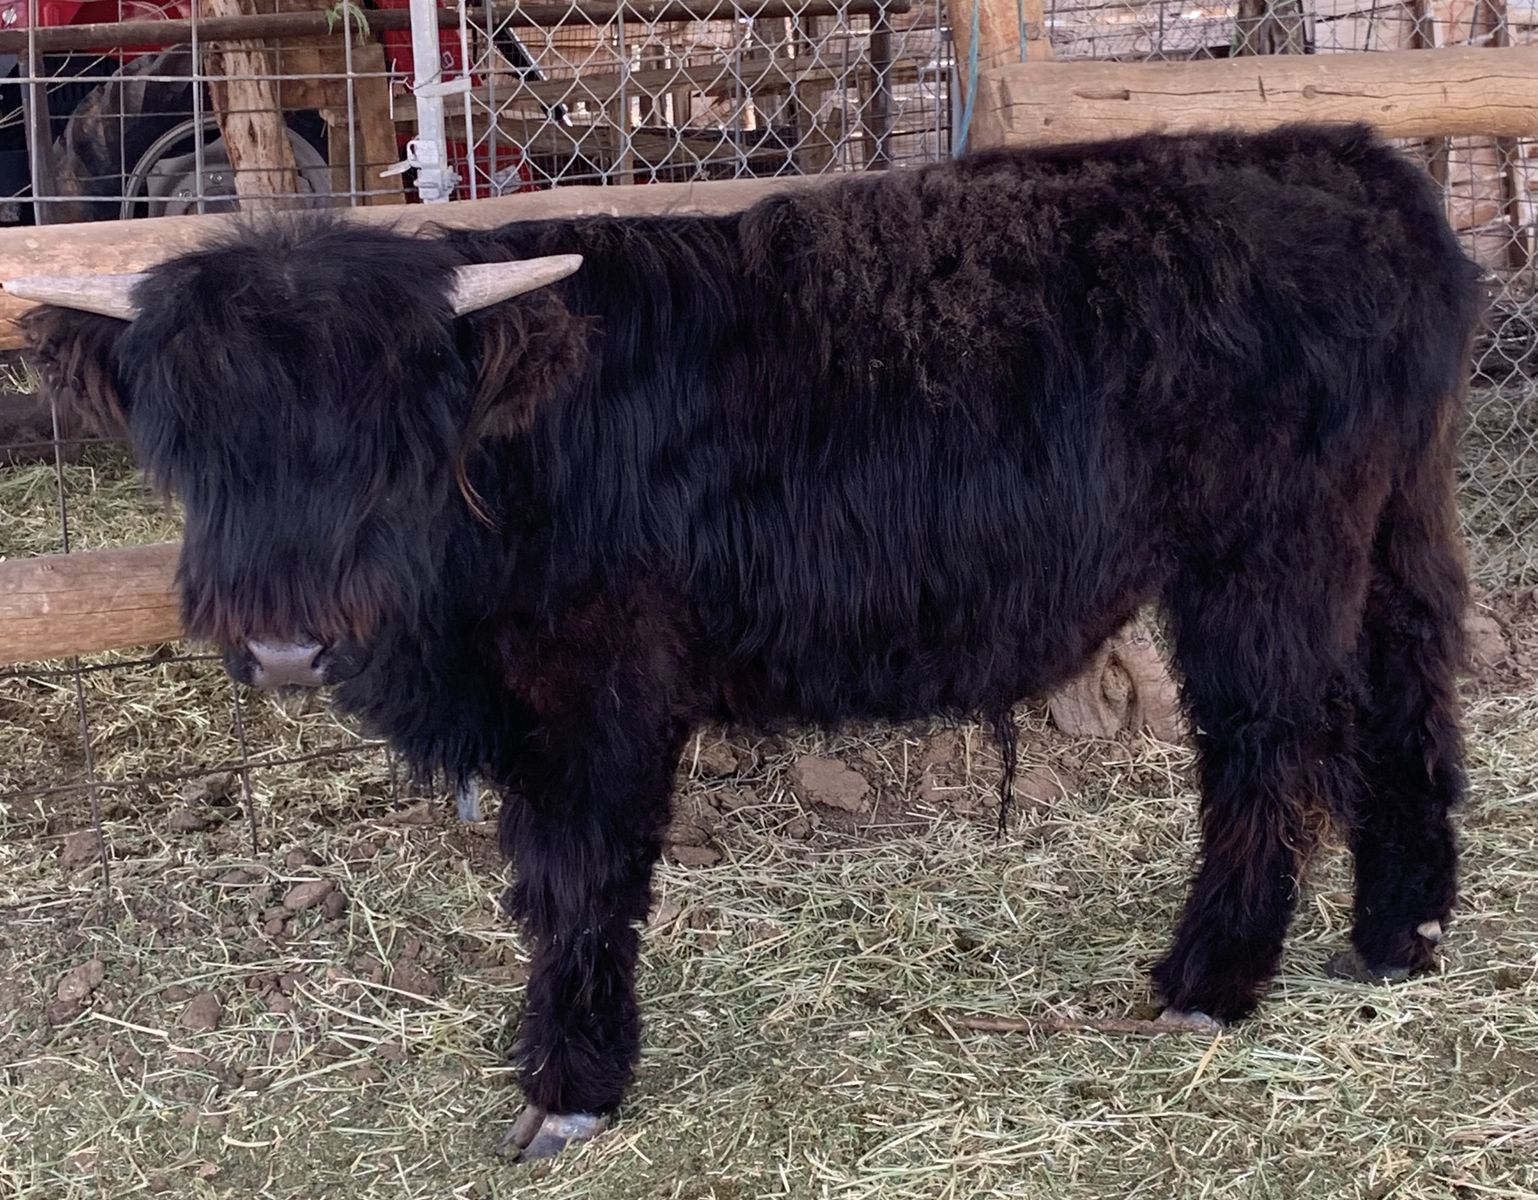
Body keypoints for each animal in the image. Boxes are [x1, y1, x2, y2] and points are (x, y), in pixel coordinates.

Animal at [13, 123, 1482, 1161]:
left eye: (388, 431)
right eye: (189, 436)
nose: (283, 646)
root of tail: (1348, 162)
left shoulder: (597, 685)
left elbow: (579, 877)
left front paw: (568, 1088)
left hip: (1264, 558)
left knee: (1270, 741)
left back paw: (1212, 978)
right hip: (1392, 523)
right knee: (1409, 691)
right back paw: (1396, 929)